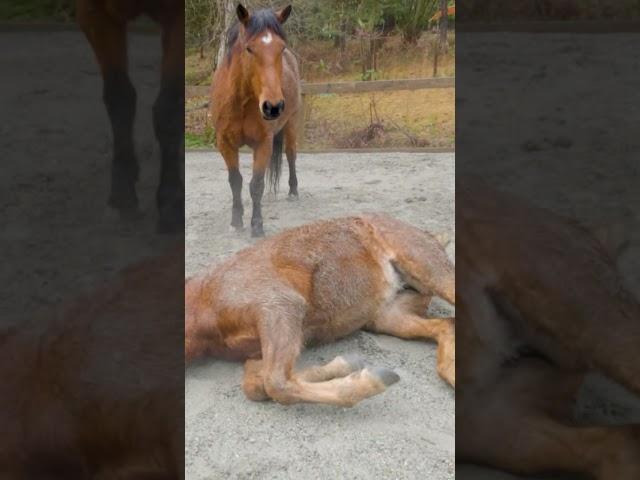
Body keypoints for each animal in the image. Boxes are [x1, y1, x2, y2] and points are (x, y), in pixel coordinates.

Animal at [77, 0, 185, 232]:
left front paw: (171, 204)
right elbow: (119, 96)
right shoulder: (94, 12)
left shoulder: (178, 16)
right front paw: (122, 195)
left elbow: (170, 107)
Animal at [185, 216, 456, 406]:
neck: (205, 300)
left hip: (431, 270)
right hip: (388, 316)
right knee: (446, 325)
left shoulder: (280, 306)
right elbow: (256, 385)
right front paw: (347, 364)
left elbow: (276, 383)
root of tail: (432, 236)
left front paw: (371, 379)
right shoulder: (254, 351)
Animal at [210, 3, 300, 236]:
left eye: (281, 48)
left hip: (291, 122)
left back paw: (293, 191)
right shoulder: (225, 143)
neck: (241, 102)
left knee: (291, 155)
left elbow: (256, 184)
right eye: (249, 49)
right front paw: (236, 221)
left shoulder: (263, 143)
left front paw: (257, 224)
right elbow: (236, 181)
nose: (273, 106)